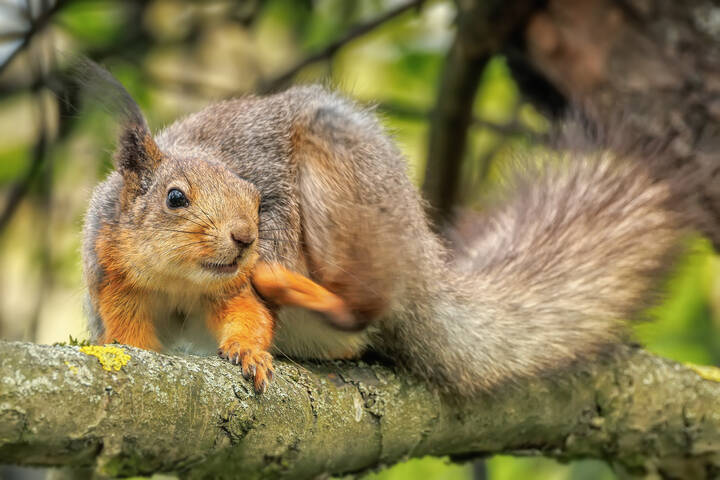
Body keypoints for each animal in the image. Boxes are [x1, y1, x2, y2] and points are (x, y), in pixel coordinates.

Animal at [81, 60, 700, 396]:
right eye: (175, 198)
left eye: (258, 200)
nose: (245, 240)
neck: (180, 283)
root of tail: (420, 266)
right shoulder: (113, 279)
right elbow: (129, 338)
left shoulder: (239, 278)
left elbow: (247, 314)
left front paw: (249, 352)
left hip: (347, 196)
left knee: (364, 305)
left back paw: (288, 282)